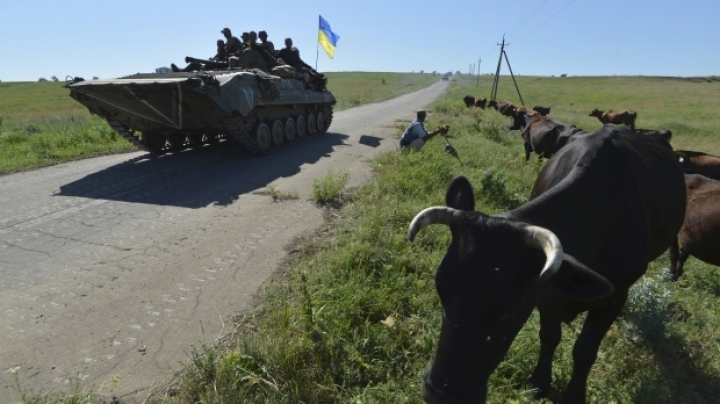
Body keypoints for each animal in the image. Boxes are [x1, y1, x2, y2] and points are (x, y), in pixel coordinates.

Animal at [408, 124, 684, 402]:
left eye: (511, 309)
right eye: (440, 289)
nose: (438, 393)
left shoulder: (614, 297)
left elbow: (584, 350)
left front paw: (573, 395)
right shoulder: (546, 293)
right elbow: (549, 337)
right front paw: (539, 382)